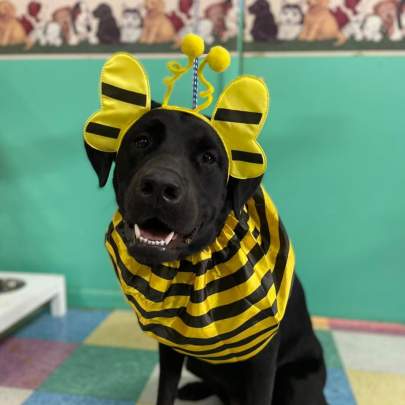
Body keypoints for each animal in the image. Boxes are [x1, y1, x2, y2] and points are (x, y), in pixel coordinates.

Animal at [84, 105, 326, 404]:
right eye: (141, 141)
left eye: (209, 158)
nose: (159, 186)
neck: (193, 262)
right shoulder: (172, 343)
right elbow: (165, 390)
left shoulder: (263, 355)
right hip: (197, 360)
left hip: (297, 382)